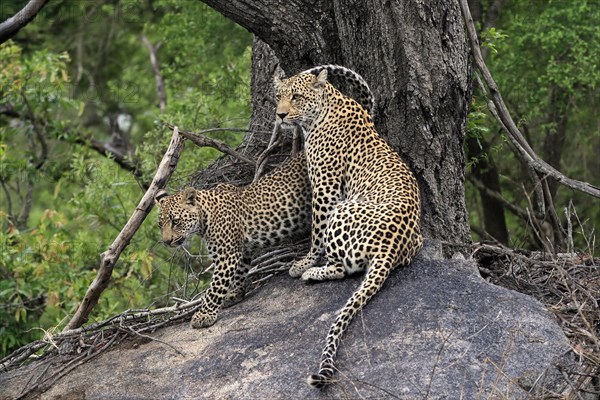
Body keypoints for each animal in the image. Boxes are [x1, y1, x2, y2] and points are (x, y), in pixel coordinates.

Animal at [276, 66, 422, 388]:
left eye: (296, 96)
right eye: (279, 96)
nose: (280, 115)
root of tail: (390, 246)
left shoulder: (326, 188)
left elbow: (316, 232)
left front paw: (304, 261)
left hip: (342, 210)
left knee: (342, 268)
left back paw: (311, 272)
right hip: (415, 240)